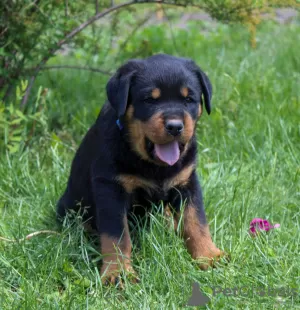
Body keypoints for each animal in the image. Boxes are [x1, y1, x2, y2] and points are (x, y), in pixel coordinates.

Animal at [57, 53, 224, 284]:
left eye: (188, 99)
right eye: (149, 100)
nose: (175, 126)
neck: (154, 165)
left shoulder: (187, 182)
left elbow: (196, 221)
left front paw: (208, 256)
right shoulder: (110, 188)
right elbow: (116, 235)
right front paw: (117, 273)